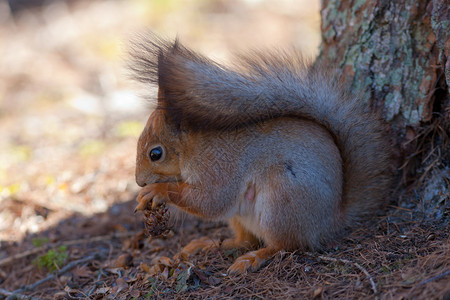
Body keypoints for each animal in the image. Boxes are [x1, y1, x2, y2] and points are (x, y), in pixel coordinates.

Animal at [130, 35, 394, 274]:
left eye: (156, 153)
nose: (139, 181)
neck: (195, 148)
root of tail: (332, 220)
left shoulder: (220, 166)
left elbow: (210, 201)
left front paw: (157, 191)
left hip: (281, 199)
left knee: (287, 245)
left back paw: (253, 258)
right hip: (242, 217)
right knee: (245, 240)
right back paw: (208, 245)